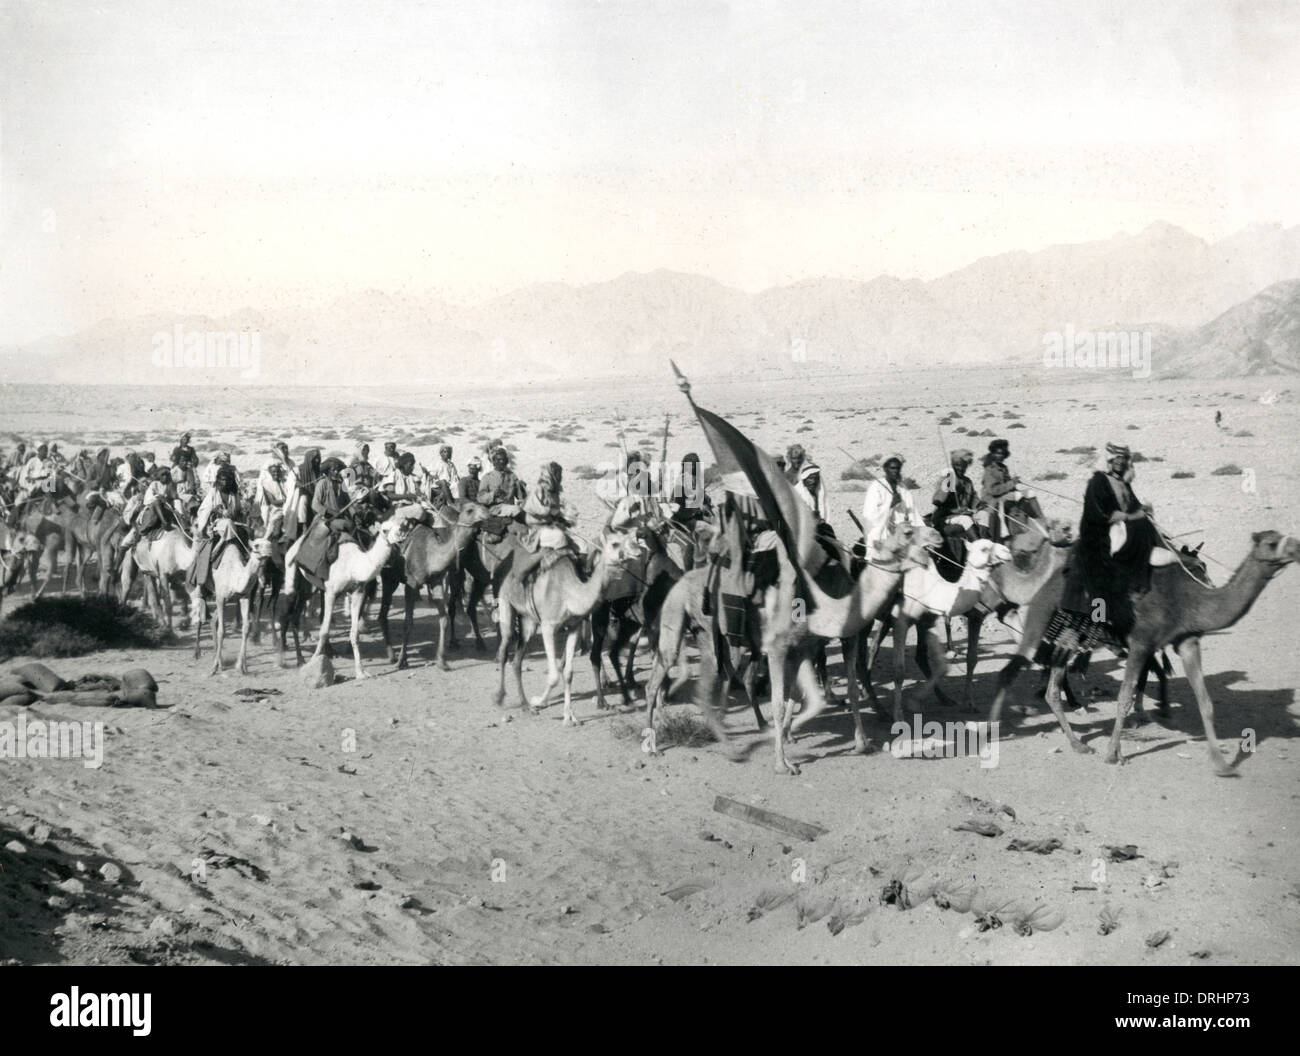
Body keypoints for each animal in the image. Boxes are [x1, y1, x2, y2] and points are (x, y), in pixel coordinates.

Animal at [301, 514, 413, 681]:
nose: (401, 536)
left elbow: (355, 634)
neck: (354, 566)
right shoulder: (331, 592)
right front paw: (313, 660)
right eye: (384, 530)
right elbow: (324, 630)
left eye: (402, 526)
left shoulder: (358, 592)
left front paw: (360, 672)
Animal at [379, 501, 491, 665]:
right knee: (382, 613)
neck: (431, 555)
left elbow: (443, 619)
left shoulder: (436, 582)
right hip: (388, 579)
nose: (487, 513)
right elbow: (408, 622)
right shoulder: (411, 585)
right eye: (470, 510)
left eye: (481, 505)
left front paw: (441, 660)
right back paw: (392, 655)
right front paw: (402, 660)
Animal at [493, 533, 642, 728]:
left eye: (633, 537)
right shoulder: (548, 626)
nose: (637, 551)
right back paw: (500, 698)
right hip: (505, 602)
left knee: (517, 660)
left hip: (528, 620)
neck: (570, 594)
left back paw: (525, 706)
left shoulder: (574, 627)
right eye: (615, 543)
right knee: (505, 648)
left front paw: (569, 717)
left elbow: (568, 673)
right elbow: (554, 676)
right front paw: (540, 701)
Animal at [987, 533, 1294, 769]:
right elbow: (1125, 696)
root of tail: (1047, 579)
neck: (1189, 596)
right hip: (1040, 618)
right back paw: (991, 733)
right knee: (1009, 670)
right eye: (1272, 542)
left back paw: (1077, 744)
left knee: (1052, 687)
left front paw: (1220, 763)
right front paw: (1114, 754)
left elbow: (1203, 700)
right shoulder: (1141, 643)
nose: (1294, 548)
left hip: (1070, 636)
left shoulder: (1185, 641)